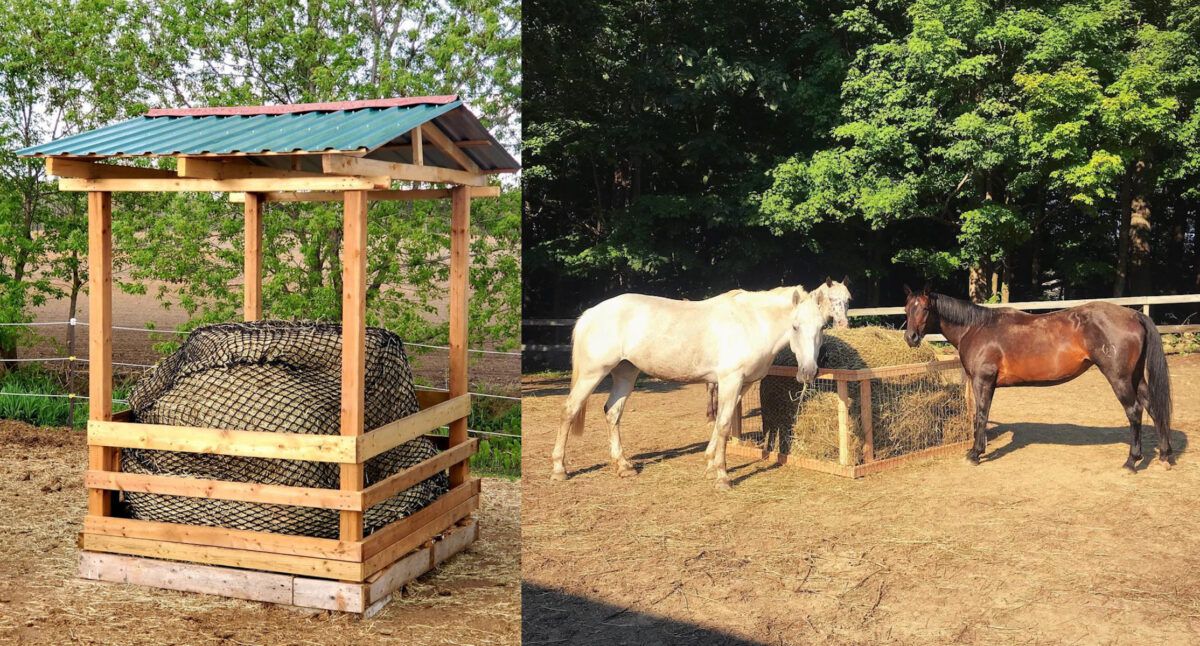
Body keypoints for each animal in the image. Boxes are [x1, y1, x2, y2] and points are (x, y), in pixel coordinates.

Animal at [549, 285, 825, 487]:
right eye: (795, 326)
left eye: (823, 326)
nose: (808, 372)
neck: (751, 323)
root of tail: (590, 314)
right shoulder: (730, 380)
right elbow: (724, 425)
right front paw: (722, 476)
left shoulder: (742, 385)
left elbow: (719, 423)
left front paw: (710, 464)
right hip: (592, 373)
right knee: (569, 411)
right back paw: (559, 469)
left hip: (625, 373)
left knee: (613, 413)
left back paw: (624, 466)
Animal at [902, 285, 1171, 468]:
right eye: (906, 309)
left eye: (925, 308)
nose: (910, 338)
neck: (976, 328)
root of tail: (1134, 315)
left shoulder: (982, 381)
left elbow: (980, 416)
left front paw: (975, 454)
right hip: (1136, 378)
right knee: (1153, 407)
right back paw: (1165, 455)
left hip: (1120, 379)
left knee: (1134, 411)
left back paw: (1132, 461)